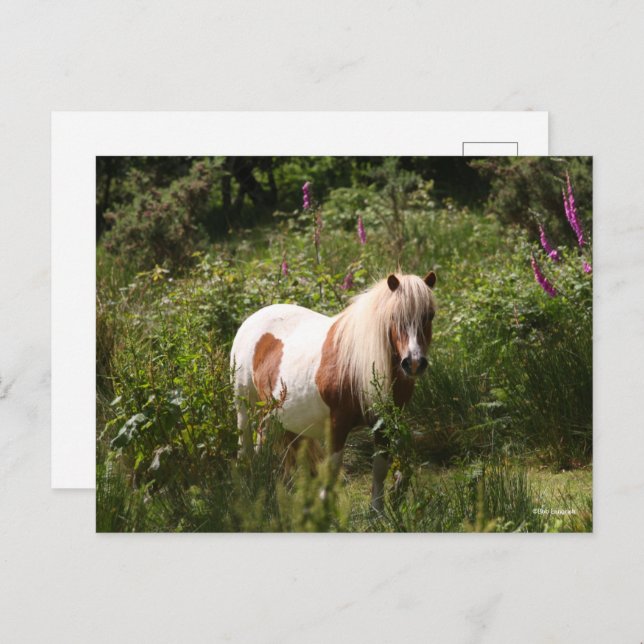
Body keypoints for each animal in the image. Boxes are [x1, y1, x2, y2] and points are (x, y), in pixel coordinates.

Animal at [230, 271, 437, 512]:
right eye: (394, 316)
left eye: (429, 315)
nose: (414, 363)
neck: (359, 362)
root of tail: (252, 319)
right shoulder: (338, 423)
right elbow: (332, 468)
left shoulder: (384, 424)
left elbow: (379, 468)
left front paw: (377, 512)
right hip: (244, 405)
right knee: (246, 444)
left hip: (276, 414)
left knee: (266, 443)